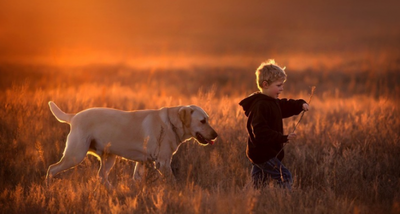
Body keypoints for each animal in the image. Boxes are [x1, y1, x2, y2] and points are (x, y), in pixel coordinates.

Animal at [47, 101, 219, 188]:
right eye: (202, 121)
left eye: (208, 119)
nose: (216, 135)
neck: (171, 123)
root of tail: (74, 116)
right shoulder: (163, 163)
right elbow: (172, 181)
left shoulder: (142, 163)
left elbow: (137, 179)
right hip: (75, 155)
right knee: (52, 169)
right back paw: (48, 188)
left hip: (109, 158)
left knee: (101, 176)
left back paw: (113, 191)